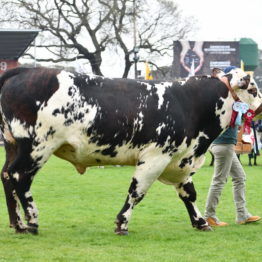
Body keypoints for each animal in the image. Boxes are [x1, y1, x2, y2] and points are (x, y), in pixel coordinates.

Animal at [0, 66, 260, 234]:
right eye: (253, 88)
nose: (259, 109)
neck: (188, 103)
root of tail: (24, 70)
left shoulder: (181, 160)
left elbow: (189, 194)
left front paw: (200, 222)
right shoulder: (156, 157)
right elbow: (137, 191)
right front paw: (122, 223)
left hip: (13, 145)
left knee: (6, 175)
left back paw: (18, 225)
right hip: (37, 146)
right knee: (19, 176)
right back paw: (32, 222)